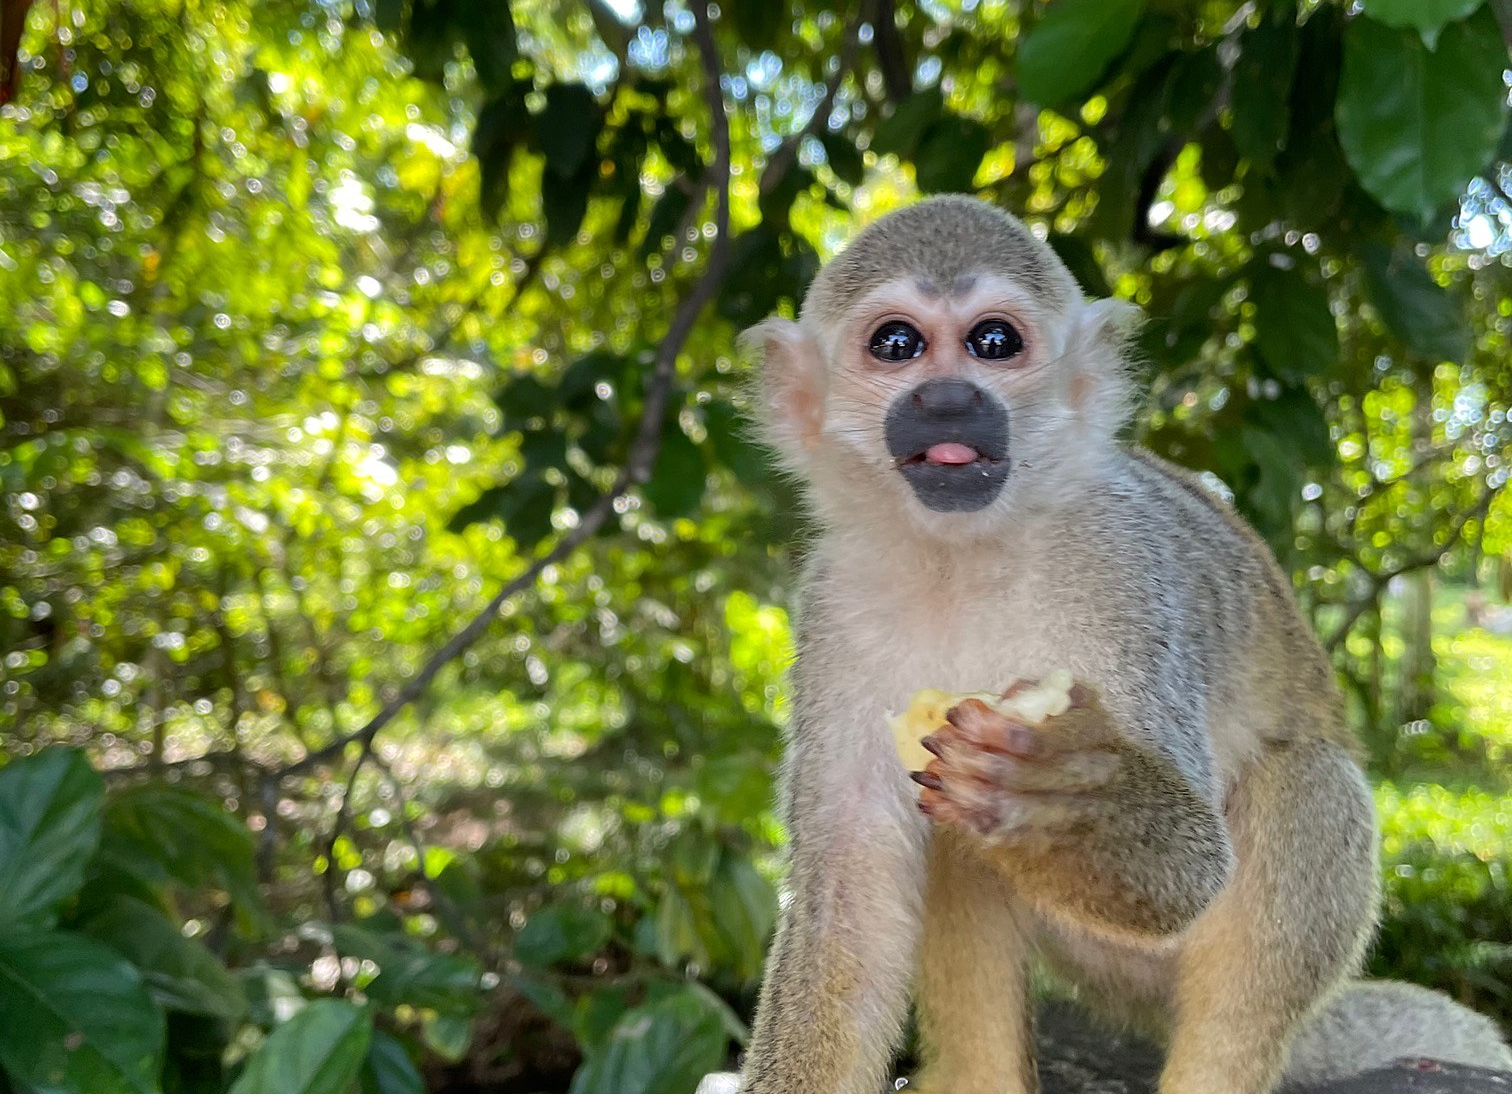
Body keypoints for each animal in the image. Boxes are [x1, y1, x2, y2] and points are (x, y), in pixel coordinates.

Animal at [699, 195, 1511, 1094]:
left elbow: (1194, 866)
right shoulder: (833, 599)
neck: (963, 555)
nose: (947, 401)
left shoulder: (1121, 559)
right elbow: (849, 896)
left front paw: (1069, 798)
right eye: (897, 344)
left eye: (993, 342)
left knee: (1306, 784)